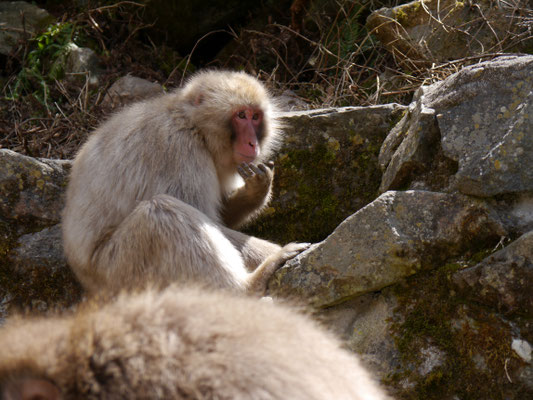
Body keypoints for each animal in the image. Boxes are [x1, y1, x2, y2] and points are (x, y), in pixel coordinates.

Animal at [61, 70, 308, 294]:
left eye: (255, 117)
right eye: (241, 115)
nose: (252, 143)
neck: (194, 125)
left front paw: (255, 191)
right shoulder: (179, 150)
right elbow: (209, 220)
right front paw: (274, 250)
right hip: (119, 270)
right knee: (159, 211)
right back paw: (248, 286)